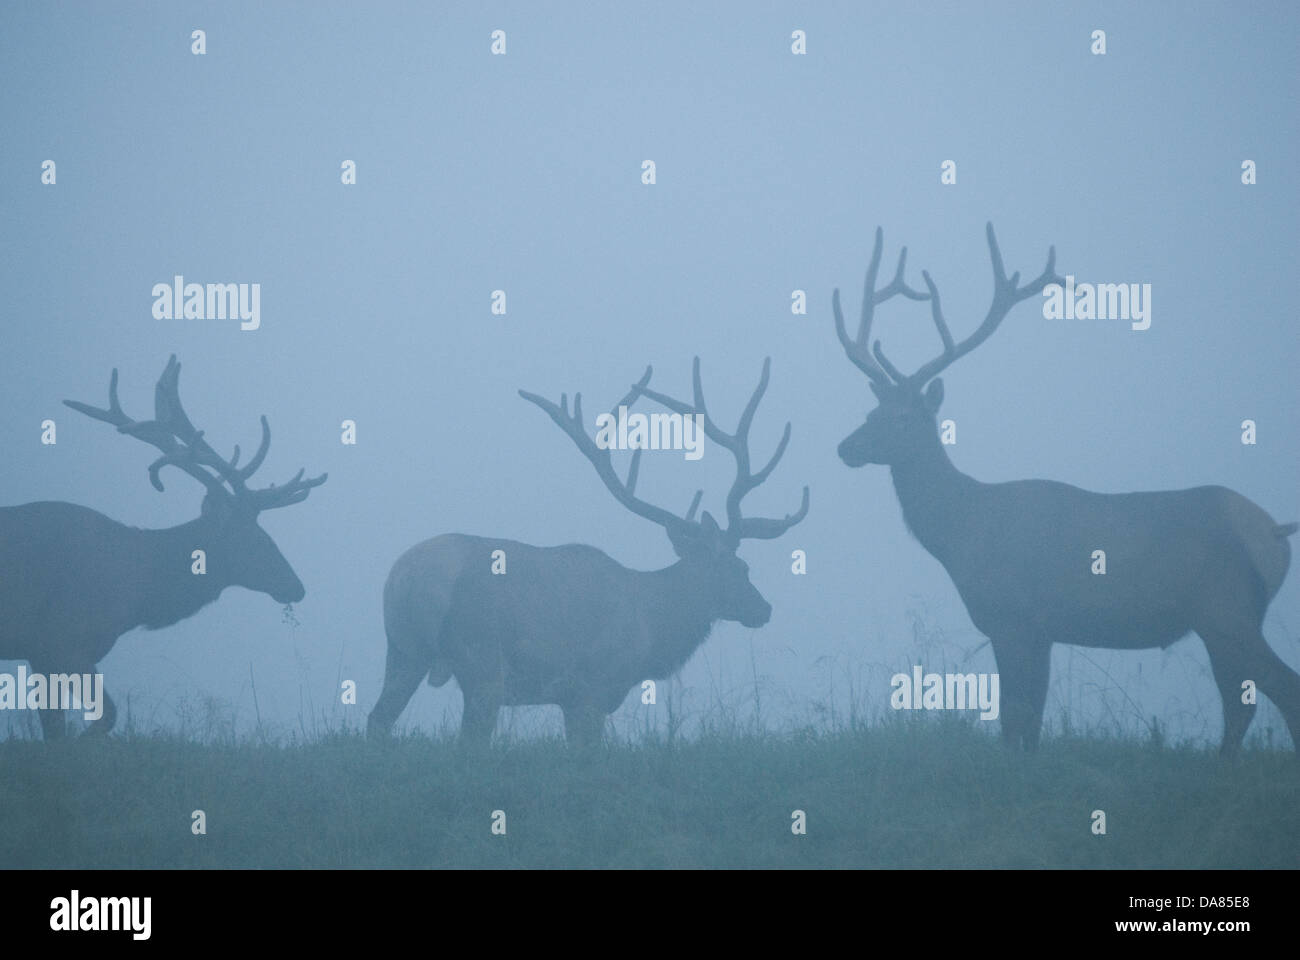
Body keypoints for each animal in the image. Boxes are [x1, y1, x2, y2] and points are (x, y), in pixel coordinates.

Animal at [0, 356, 325, 738]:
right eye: (255, 539)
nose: (296, 587)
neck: (139, 594)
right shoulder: (60, 640)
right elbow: (101, 718)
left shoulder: (41, 653)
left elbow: (56, 728)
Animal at [366, 356, 806, 744]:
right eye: (739, 567)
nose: (763, 608)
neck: (651, 623)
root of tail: (404, 578)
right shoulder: (593, 687)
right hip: (482, 660)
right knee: (468, 739)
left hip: (402, 650)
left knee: (377, 719)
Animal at [837, 226, 1294, 754]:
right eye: (871, 412)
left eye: (902, 417)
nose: (845, 447)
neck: (963, 532)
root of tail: (1275, 534)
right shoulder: (1040, 630)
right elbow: (1029, 724)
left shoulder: (1012, 618)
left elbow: (1015, 718)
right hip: (1224, 619)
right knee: (1242, 701)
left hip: (1227, 609)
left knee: (1279, 689)